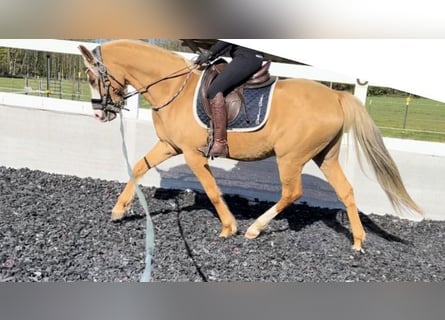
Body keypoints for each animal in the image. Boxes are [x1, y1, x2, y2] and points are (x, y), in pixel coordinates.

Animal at [78, 38, 422, 251]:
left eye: (93, 77)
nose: (99, 113)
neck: (174, 87)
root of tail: (336, 95)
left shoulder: (191, 154)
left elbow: (213, 190)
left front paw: (229, 227)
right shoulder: (169, 145)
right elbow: (138, 167)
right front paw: (118, 211)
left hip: (290, 157)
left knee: (292, 192)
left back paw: (255, 228)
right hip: (325, 156)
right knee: (346, 191)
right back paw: (358, 241)